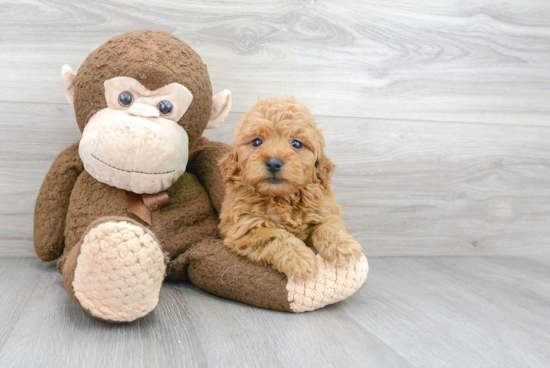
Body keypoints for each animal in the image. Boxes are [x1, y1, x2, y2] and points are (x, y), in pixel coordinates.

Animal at [218, 96, 364, 280]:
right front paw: (300, 259)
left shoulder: (326, 210)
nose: (273, 163)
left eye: (296, 144)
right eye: (257, 142)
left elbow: (328, 225)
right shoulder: (244, 229)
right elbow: (276, 235)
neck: (282, 198)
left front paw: (342, 247)